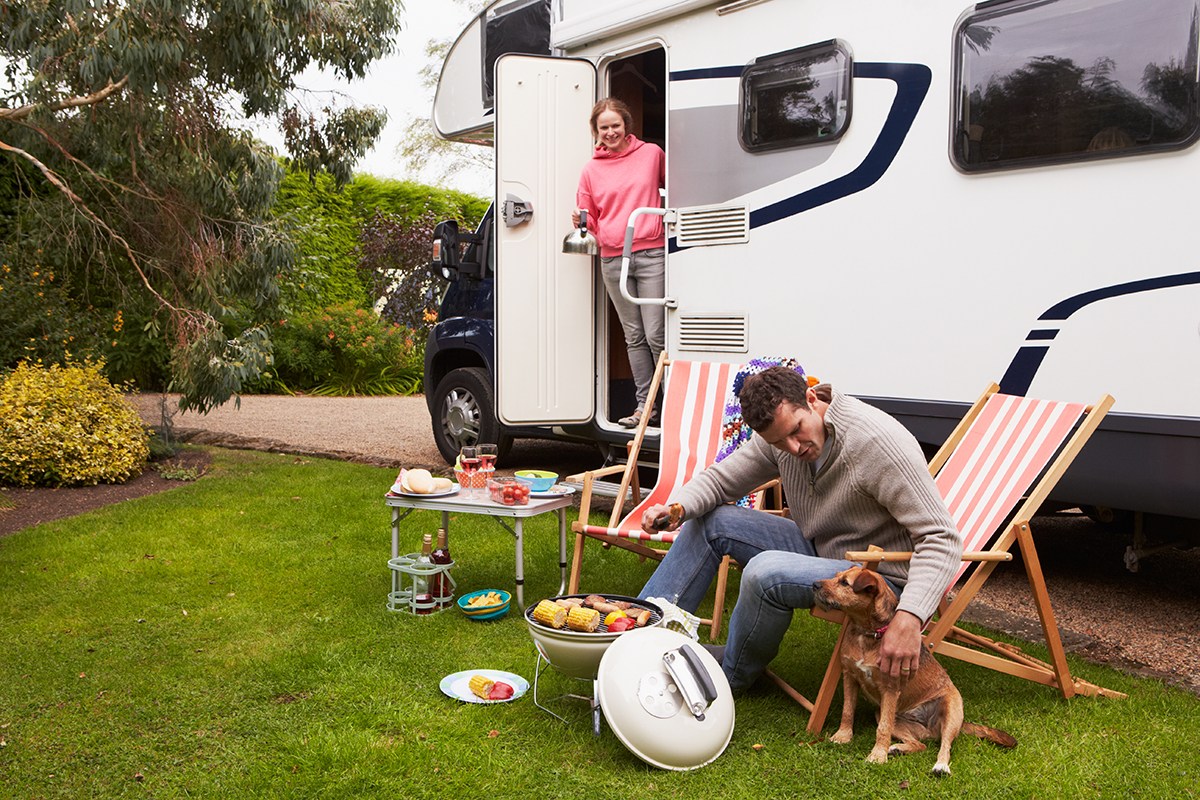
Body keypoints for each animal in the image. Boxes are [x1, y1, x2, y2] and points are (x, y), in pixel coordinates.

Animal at [806, 563, 1012, 777]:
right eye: (836, 576)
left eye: (845, 583)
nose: (814, 584)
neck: (869, 634)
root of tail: (930, 726)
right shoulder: (850, 677)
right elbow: (847, 710)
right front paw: (843, 736)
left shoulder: (890, 689)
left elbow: (883, 729)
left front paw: (877, 756)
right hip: (888, 715)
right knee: (920, 744)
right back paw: (898, 748)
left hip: (951, 712)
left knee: (944, 745)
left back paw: (940, 766)